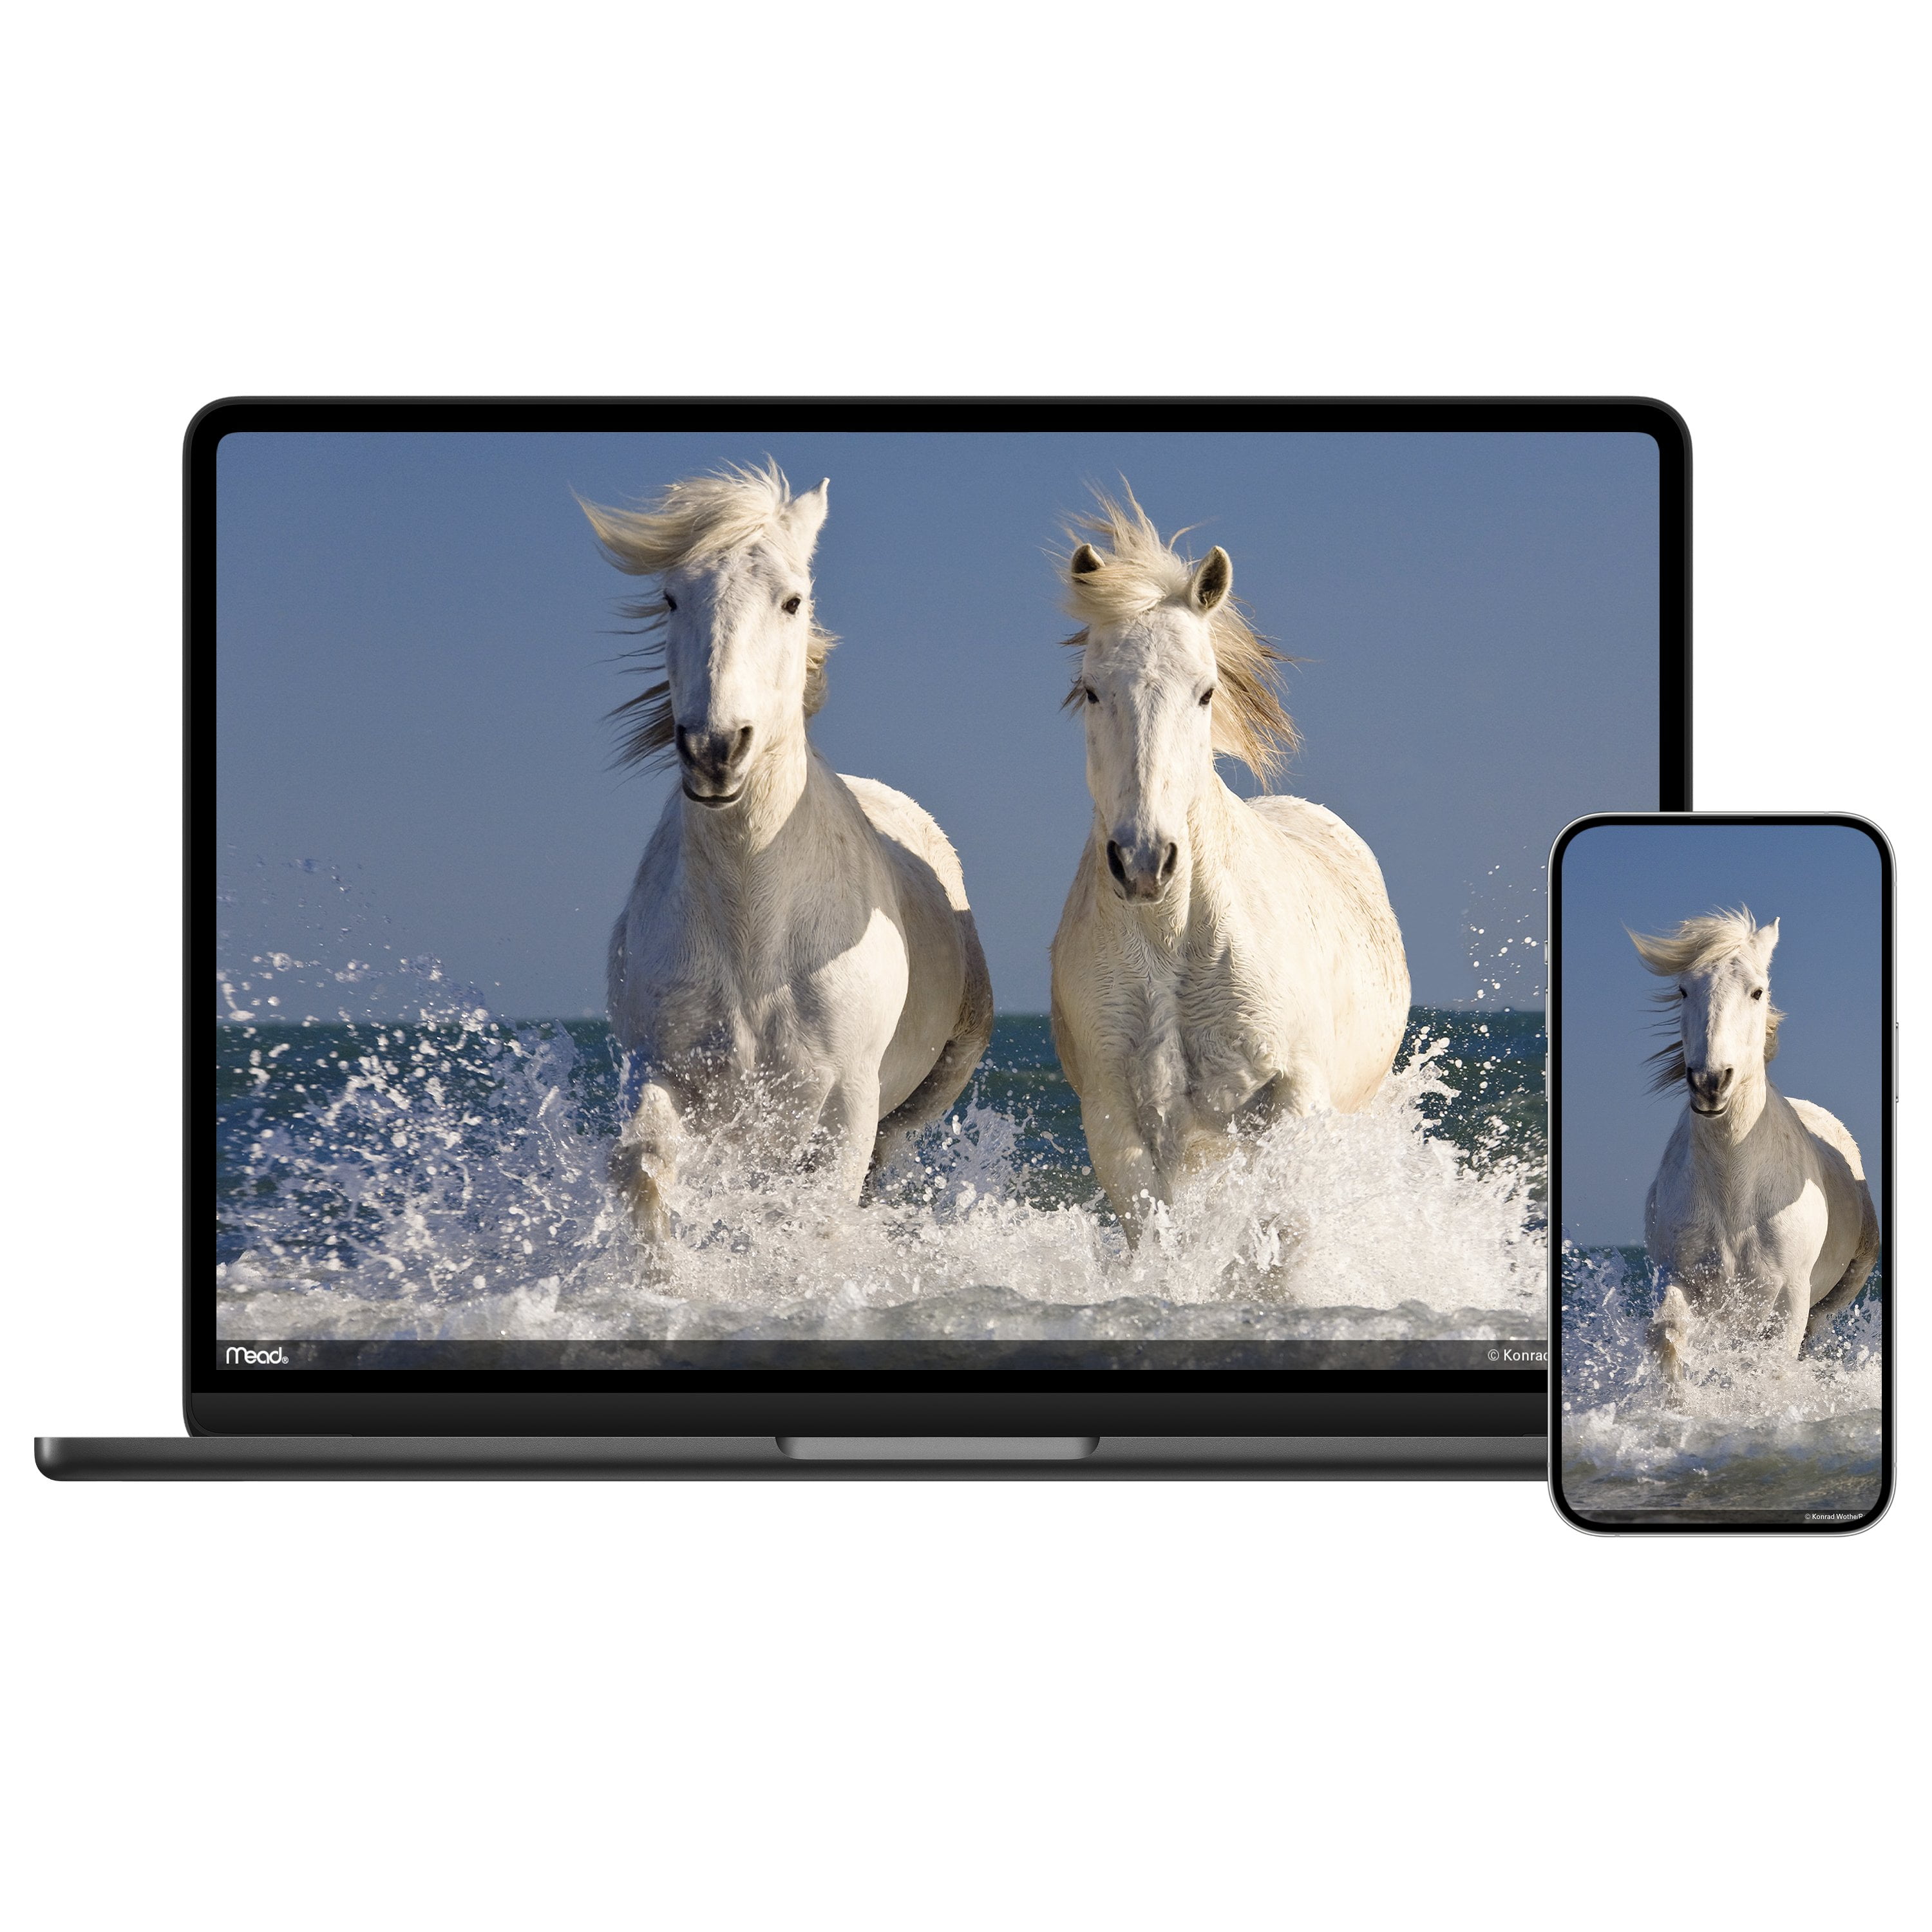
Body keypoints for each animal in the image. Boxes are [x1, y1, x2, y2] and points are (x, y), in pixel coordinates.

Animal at [579, 461, 993, 1242]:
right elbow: (643, 1170)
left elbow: (815, 1218)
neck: (753, 925)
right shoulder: (661, 1071)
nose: (715, 751)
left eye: (792, 599)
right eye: (671, 597)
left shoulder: (846, 1108)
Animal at [1047, 488, 1411, 1246]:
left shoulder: (1293, 1095)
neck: (1173, 941)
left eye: (1206, 692)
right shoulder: (1114, 1117)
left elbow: (1279, 1234)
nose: (1143, 861)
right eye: (1092, 690)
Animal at [1632, 908, 1879, 1380]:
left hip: (1845, 1284)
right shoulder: (1678, 1277)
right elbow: (1667, 1339)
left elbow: (1772, 1367)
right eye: (1684, 989)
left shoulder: (1790, 1299)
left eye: (1757, 990)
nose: (1711, 1084)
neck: (1734, 1190)